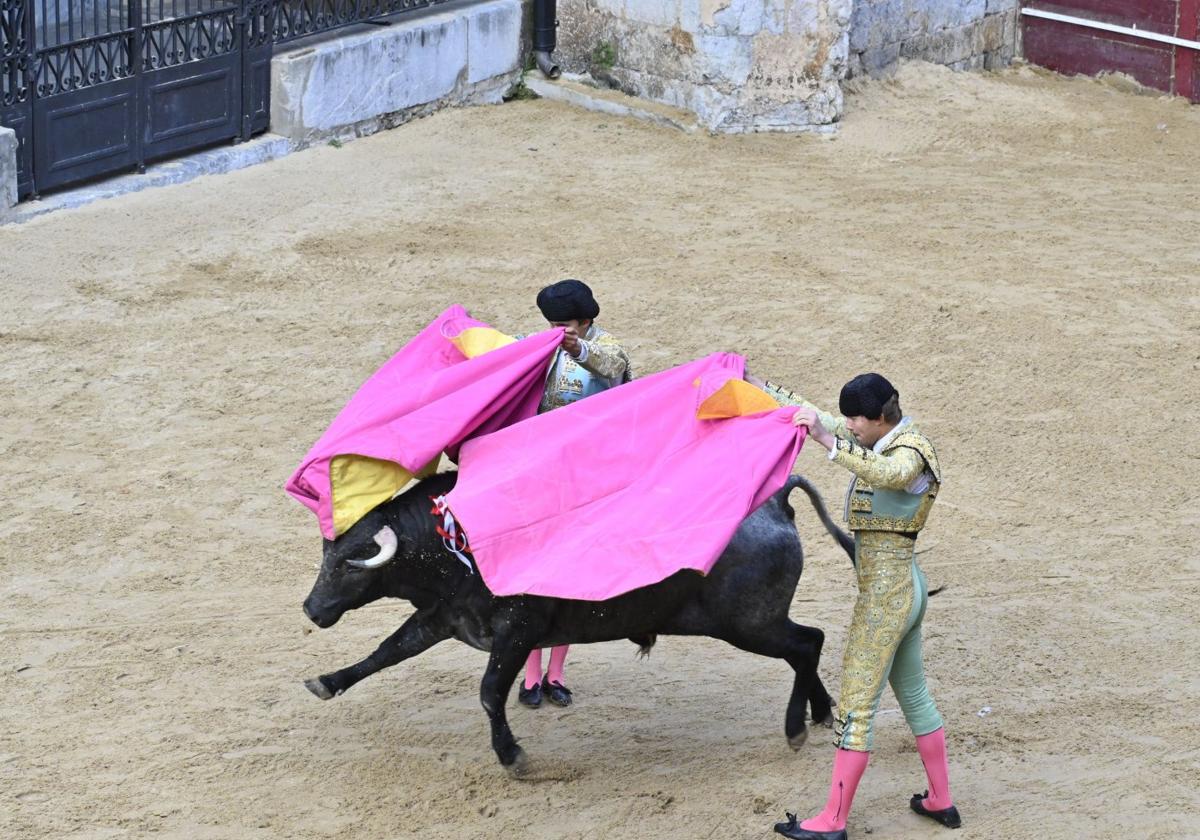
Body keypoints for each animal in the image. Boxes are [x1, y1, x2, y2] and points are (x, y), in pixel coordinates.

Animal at [304, 470, 859, 772]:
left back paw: (795, 728)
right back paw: (819, 713)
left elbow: (489, 692)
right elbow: (386, 651)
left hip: (748, 624)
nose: (312, 609)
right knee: (807, 646)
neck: (456, 545)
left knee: (807, 644)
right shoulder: (443, 618)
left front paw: (513, 757)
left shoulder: (516, 631)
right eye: (325, 556)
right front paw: (326, 681)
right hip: (756, 623)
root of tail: (774, 501)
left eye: (348, 563)